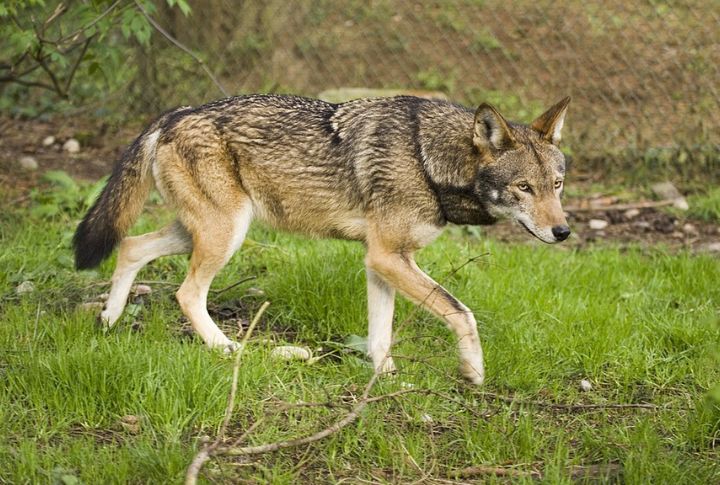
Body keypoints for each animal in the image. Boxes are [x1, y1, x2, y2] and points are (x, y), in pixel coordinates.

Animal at [73, 94, 571, 385]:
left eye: (556, 185)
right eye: (524, 188)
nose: (563, 231)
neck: (427, 159)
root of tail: (172, 114)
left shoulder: (381, 261)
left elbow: (380, 336)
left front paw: (385, 381)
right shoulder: (388, 256)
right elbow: (462, 313)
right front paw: (473, 372)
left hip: (206, 232)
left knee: (130, 246)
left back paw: (110, 320)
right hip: (225, 235)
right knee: (185, 292)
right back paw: (226, 349)